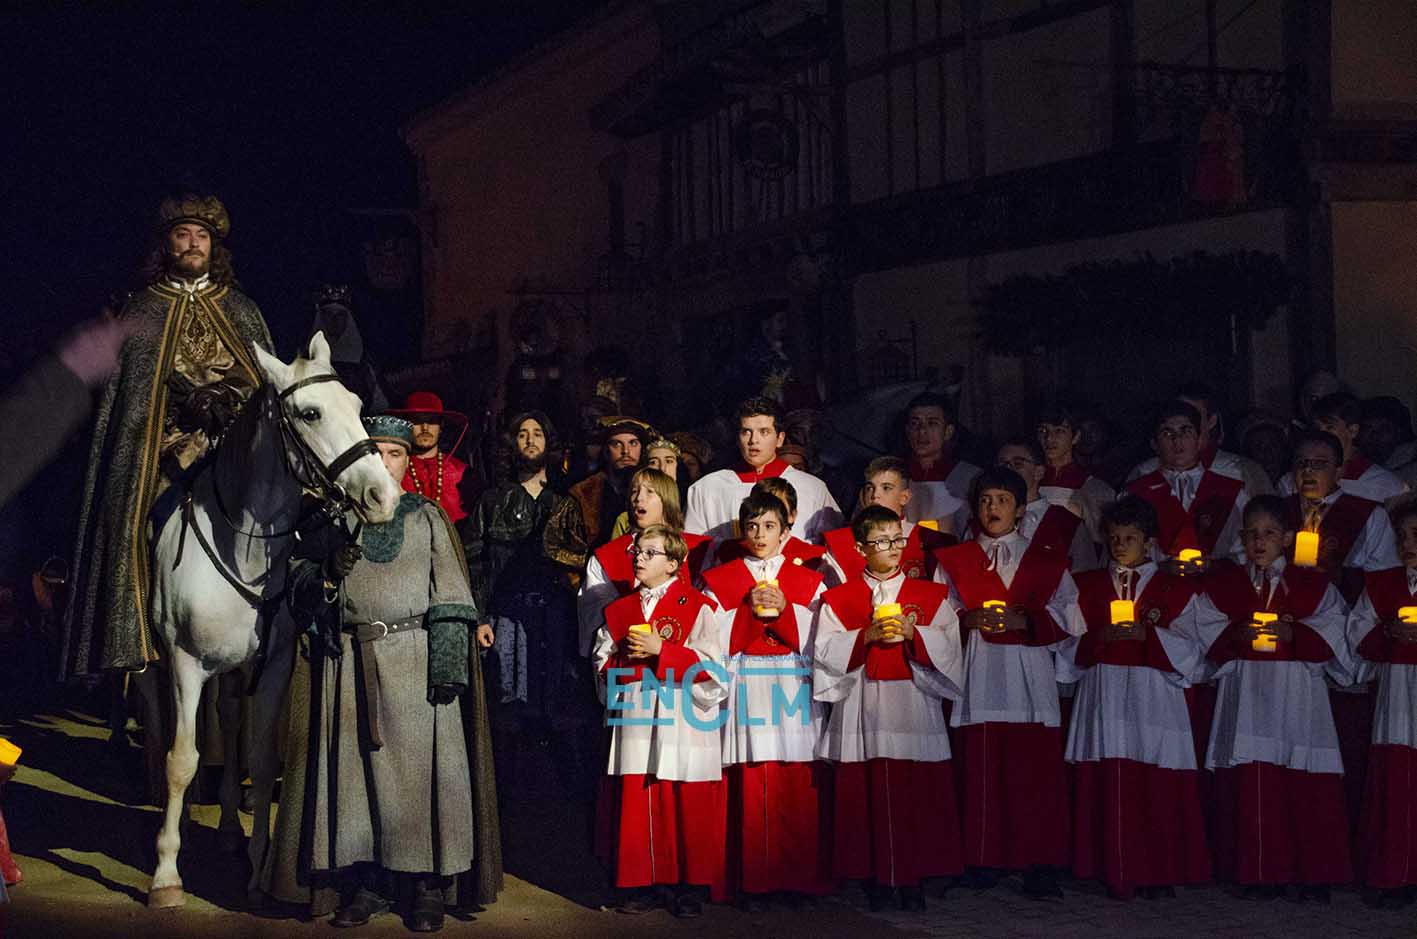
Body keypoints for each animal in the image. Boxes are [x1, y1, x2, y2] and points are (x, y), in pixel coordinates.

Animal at [147, 334, 402, 906]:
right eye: (309, 413)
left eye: (357, 405)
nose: (383, 497)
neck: (240, 550)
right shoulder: (185, 665)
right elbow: (180, 760)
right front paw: (166, 874)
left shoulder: (273, 669)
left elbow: (262, 762)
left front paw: (259, 867)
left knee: (230, 721)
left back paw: (226, 831)